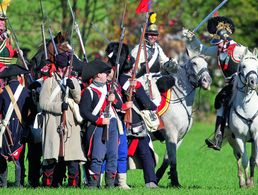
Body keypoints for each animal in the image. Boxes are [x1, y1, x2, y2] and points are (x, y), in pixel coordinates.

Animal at [151, 55, 212, 187]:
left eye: (206, 64)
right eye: (194, 63)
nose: (207, 81)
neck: (178, 101)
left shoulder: (179, 138)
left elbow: (167, 160)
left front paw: (158, 178)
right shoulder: (171, 135)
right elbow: (173, 160)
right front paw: (175, 182)